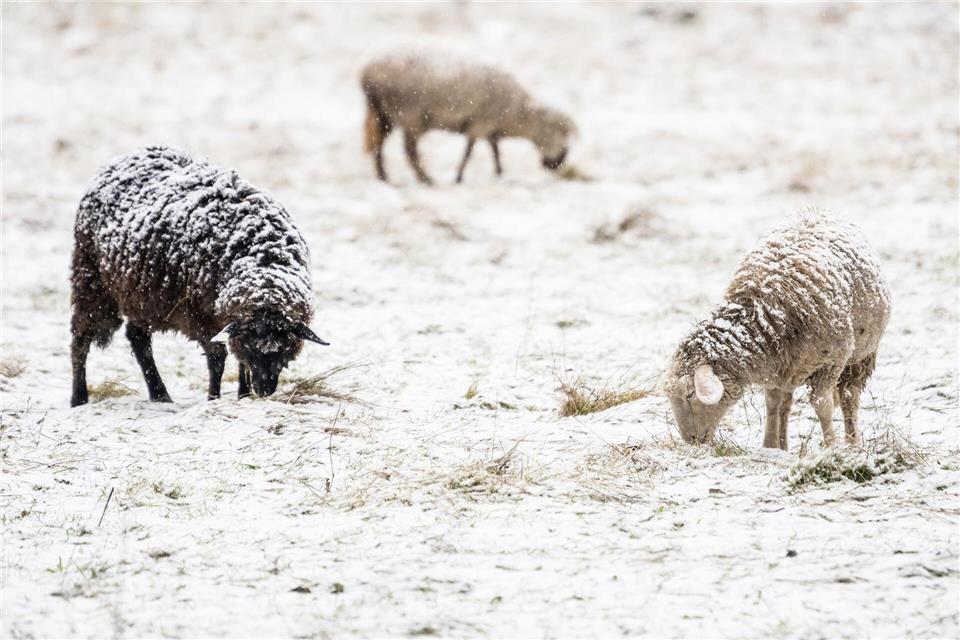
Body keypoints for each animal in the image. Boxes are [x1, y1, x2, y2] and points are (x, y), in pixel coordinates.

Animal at [70, 146, 328, 407]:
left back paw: (160, 395)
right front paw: (213, 398)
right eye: (251, 345)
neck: (262, 257)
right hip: (91, 280)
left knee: (138, 338)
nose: (264, 390)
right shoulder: (202, 315)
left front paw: (243, 395)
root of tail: (125, 157)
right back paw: (79, 398)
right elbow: (218, 360)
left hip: (139, 295)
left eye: (285, 347)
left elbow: (237, 361)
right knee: (81, 338)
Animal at [361, 52, 576, 185]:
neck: (517, 114)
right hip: (409, 116)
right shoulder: (481, 124)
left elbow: (495, 149)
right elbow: (469, 152)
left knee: (379, 145)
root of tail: (367, 74)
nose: (557, 164)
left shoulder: (488, 127)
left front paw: (499, 172)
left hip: (385, 115)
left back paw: (383, 177)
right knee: (410, 151)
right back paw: (426, 180)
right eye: (560, 133)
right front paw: (458, 177)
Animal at [664, 209, 891, 450]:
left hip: (861, 357)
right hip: (792, 367)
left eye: (689, 394)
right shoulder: (776, 366)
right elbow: (772, 404)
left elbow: (823, 406)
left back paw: (852, 442)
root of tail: (818, 211)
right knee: (787, 403)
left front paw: (831, 446)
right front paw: (771, 445)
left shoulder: (830, 363)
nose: (690, 440)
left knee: (849, 397)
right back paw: (784, 444)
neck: (765, 313)